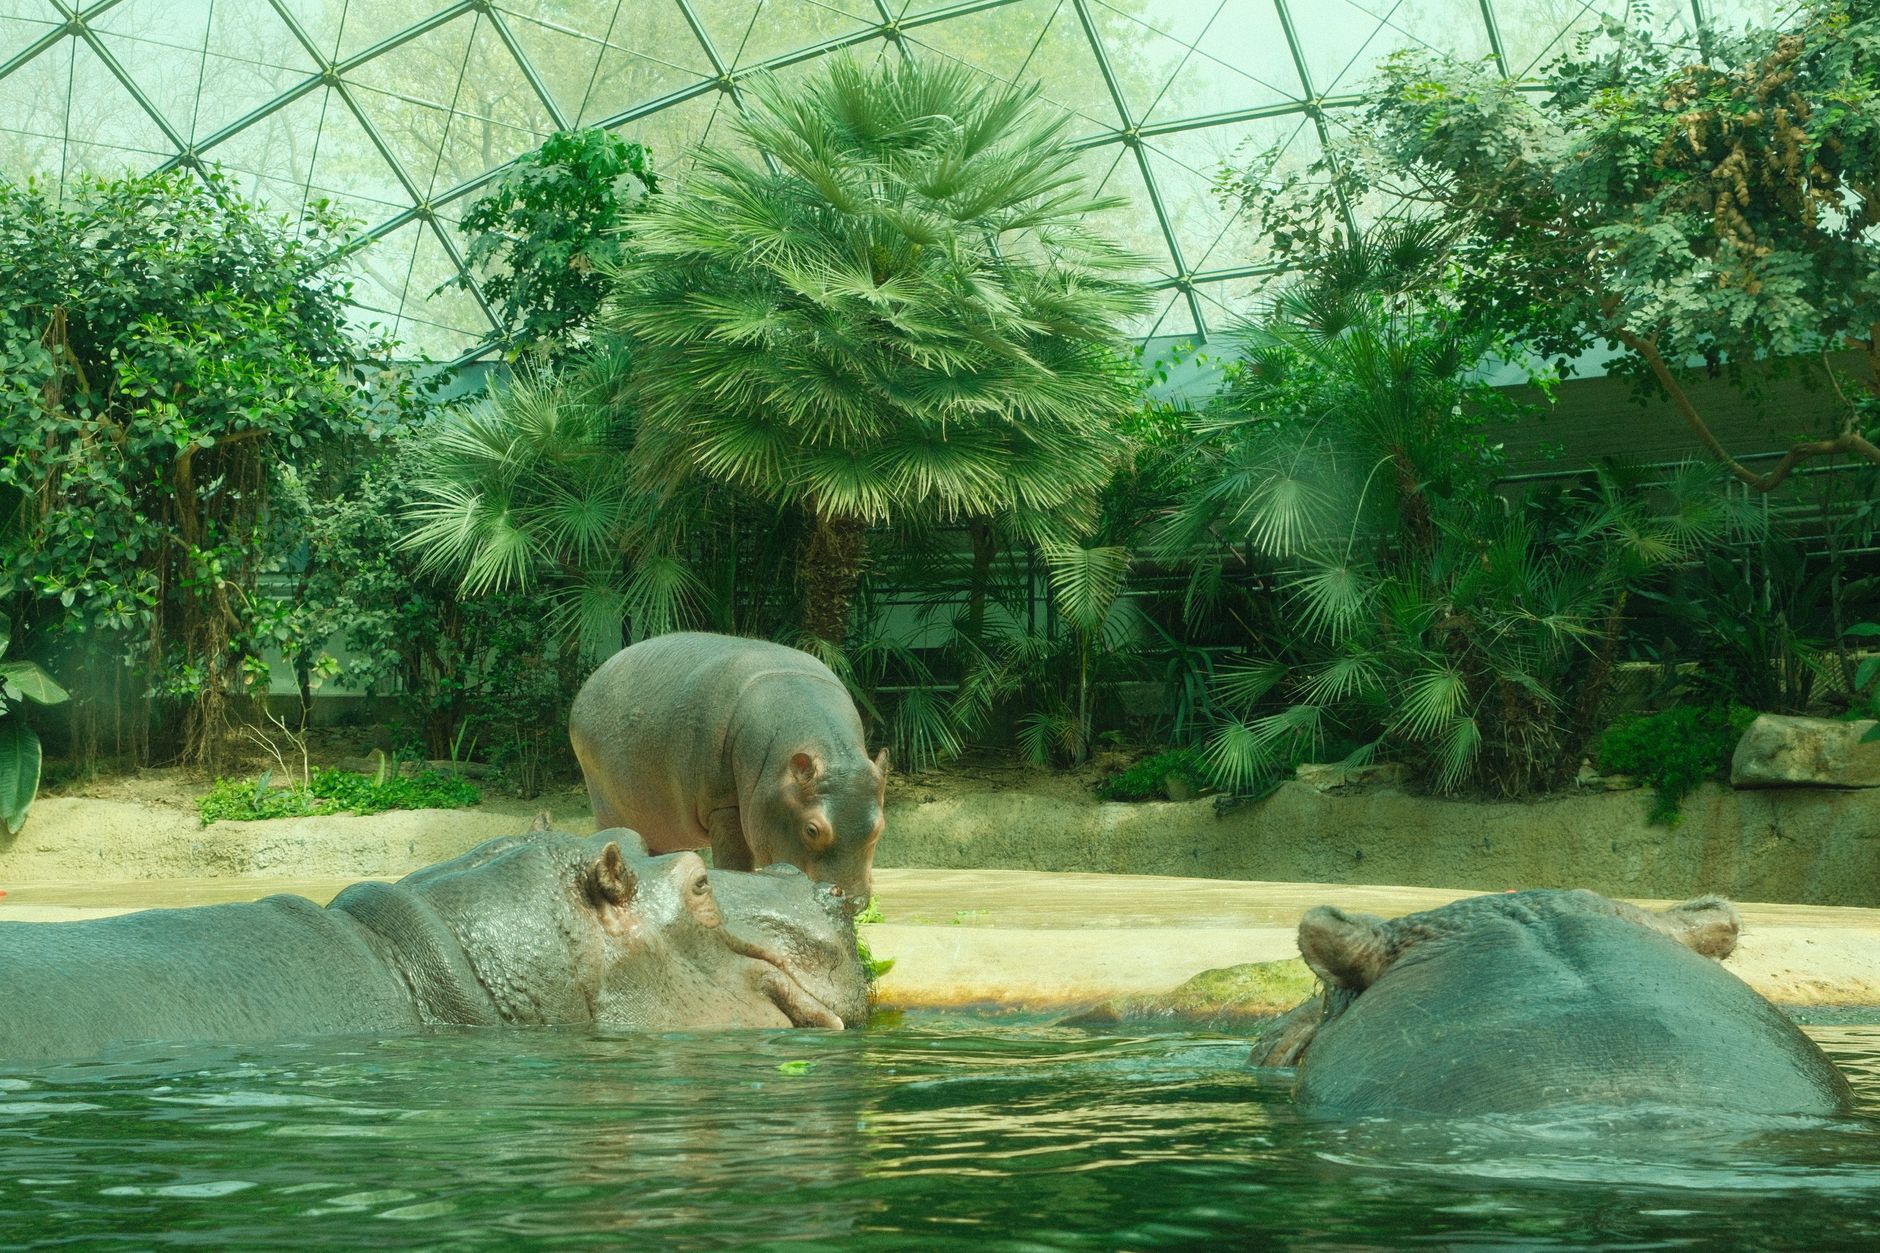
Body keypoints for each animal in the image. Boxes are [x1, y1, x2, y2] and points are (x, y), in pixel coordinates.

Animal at [569, 632, 888, 908]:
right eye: (812, 830)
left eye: (880, 826)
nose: (853, 903)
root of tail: (589, 684)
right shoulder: (724, 805)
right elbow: (735, 862)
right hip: (608, 809)